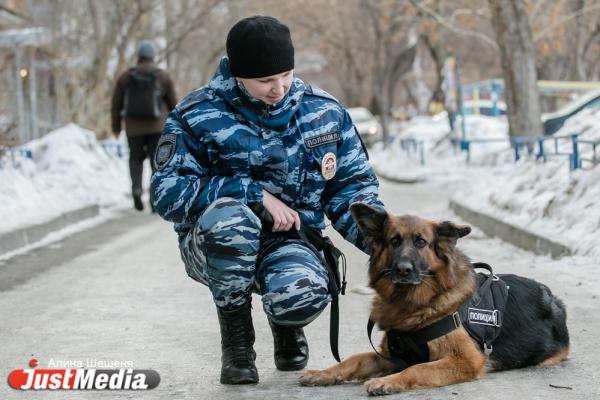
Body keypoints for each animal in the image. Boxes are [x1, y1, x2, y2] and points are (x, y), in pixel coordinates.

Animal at [302, 205, 568, 396]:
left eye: (421, 242)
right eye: (394, 241)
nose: (403, 269)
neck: (415, 303)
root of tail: (553, 299)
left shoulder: (466, 359)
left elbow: (418, 368)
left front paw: (386, 381)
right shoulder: (392, 354)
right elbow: (354, 359)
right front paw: (323, 373)